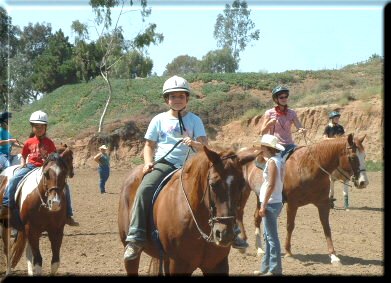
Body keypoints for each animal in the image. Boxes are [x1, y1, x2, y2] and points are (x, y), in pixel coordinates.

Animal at [0, 144, 74, 276]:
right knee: (7, 249)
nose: (55, 203)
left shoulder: (56, 231)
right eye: (46, 174)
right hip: (6, 225)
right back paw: (8, 272)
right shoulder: (32, 230)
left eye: (63, 173)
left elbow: (55, 262)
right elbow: (38, 261)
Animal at [119, 145, 260, 276]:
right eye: (213, 184)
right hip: (131, 253)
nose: (226, 234)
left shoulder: (217, 264)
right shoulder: (177, 264)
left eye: (242, 184)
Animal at [234, 134, 366, 266]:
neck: (308, 168)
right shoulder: (293, 204)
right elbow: (290, 226)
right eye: (353, 157)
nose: (363, 182)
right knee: (239, 213)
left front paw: (333, 256)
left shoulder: (323, 203)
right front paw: (288, 252)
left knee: (257, 217)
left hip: (261, 198)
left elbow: (326, 226)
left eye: (364, 156)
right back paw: (243, 244)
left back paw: (260, 249)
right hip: (244, 191)